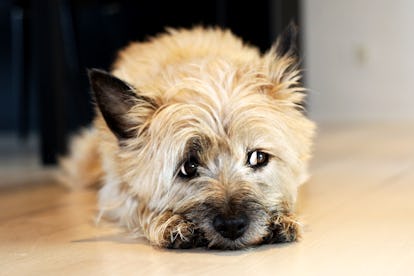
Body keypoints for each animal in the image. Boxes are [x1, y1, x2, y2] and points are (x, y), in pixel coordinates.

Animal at [59, 24, 316, 250]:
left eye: (257, 158)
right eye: (188, 167)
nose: (232, 226)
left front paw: (283, 219)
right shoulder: (116, 192)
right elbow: (137, 204)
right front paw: (168, 222)